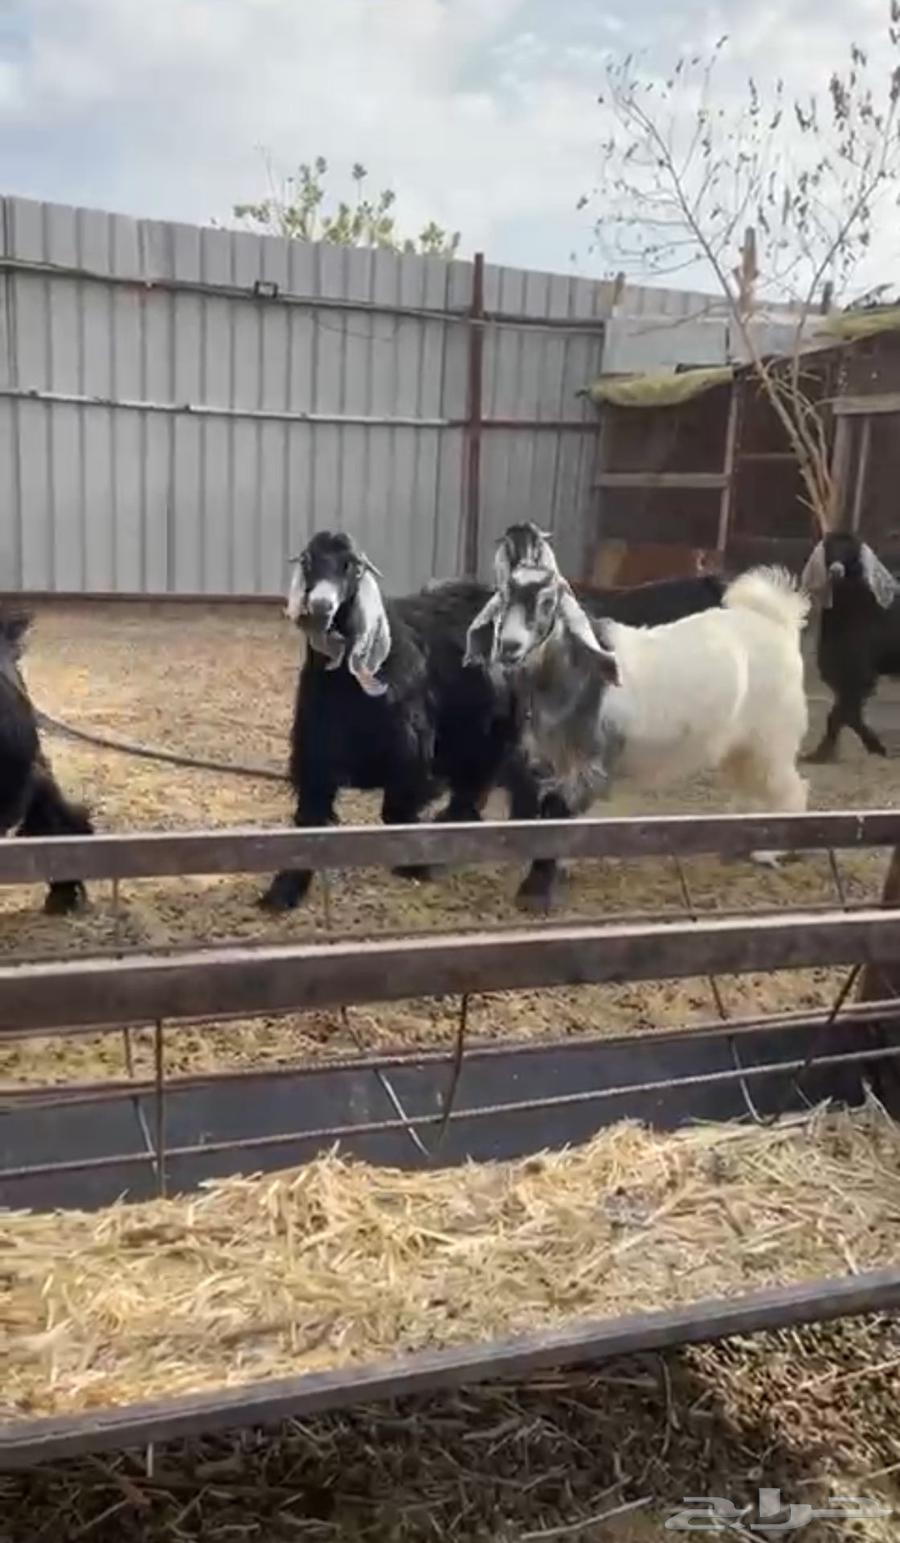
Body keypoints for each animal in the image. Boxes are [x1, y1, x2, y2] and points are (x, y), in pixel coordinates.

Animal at [259, 529, 559, 912]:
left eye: (352, 566)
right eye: (307, 561)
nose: (322, 605)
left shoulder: (411, 761)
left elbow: (396, 815)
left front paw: (416, 864)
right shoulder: (315, 762)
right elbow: (307, 827)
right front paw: (283, 891)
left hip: (500, 730)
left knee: (515, 782)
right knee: (479, 785)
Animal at [464, 551, 810, 856]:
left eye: (548, 603)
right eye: (503, 600)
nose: (509, 646)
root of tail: (777, 620)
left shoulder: (588, 767)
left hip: (773, 737)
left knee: (788, 789)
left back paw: (770, 850)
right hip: (744, 744)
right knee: (752, 785)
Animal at [800, 530, 900, 761]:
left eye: (851, 552)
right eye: (829, 549)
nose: (836, 571)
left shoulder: (858, 674)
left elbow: (842, 713)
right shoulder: (844, 674)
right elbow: (844, 713)